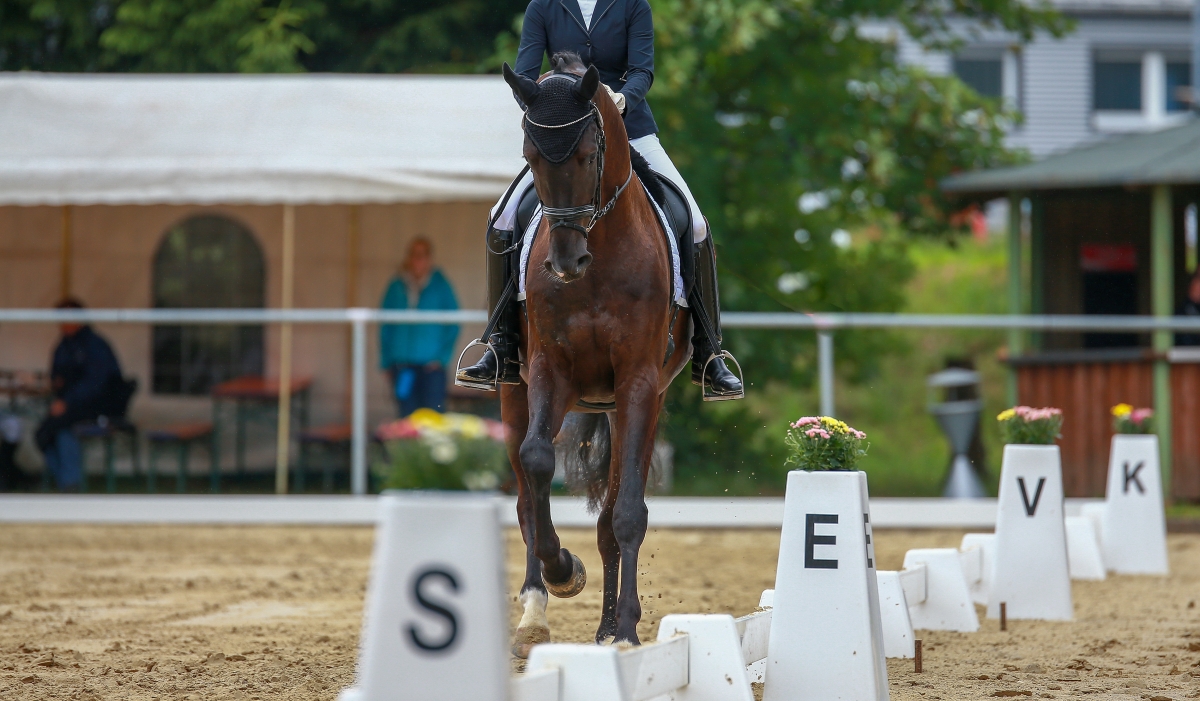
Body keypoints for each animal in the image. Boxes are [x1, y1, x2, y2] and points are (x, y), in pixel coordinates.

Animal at [499, 56, 696, 657]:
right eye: (530, 157)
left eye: (589, 155)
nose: (566, 263)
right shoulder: (548, 372)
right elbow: (539, 461)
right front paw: (564, 571)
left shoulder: (637, 384)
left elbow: (628, 513)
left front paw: (627, 631)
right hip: (514, 393)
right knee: (525, 495)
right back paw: (533, 613)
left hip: (635, 404)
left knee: (612, 517)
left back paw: (609, 628)